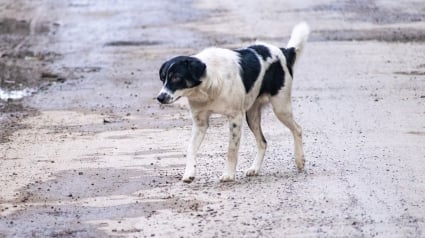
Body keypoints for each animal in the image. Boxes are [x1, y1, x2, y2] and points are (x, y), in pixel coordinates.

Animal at [156, 22, 308, 182]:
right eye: (163, 78)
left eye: (176, 77)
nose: (160, 97)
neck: (208, 85)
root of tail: (283, 51)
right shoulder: (200, 123)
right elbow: (191, 147)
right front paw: (189, 173)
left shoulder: (235, 117)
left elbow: (232, 149)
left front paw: (228, 174)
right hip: (252, 115)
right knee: (263, 142)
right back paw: (255, 168)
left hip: (280, 107)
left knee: (297, 129)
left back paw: (299, 159)